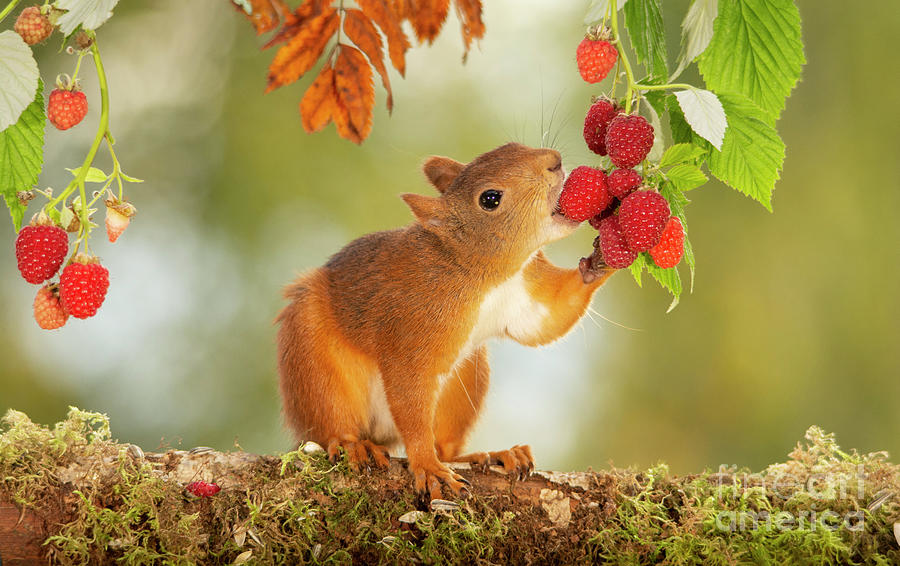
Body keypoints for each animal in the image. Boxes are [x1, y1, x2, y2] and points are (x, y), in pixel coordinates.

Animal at [276, 143, 616, 500]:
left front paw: (602, 258)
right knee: (331, 421)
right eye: (490, 199)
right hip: (313, 361)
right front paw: (426, 466)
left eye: (511, 146)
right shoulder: (412, 327)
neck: (483, 274)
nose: (554, 161)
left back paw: (496, 454)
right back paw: (353, 445)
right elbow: (409, 394)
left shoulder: (525, 293)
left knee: (447, 447)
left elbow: (548, 319)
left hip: (466, 379)